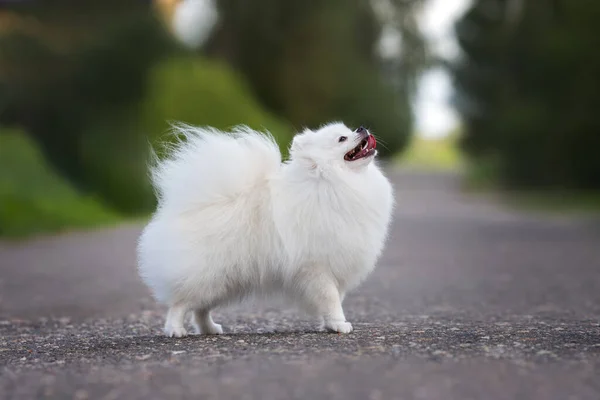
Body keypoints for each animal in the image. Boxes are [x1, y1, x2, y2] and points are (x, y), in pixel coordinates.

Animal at [136, 122, 394, 334]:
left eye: (349, 129)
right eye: (342, 138)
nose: (362, 128)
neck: (331, 183)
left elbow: (332, 300)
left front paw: (329, 325)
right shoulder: (317, 267)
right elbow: (331, 299)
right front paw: (340, 325)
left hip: (222, 280)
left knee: (200, 309)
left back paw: (210, 329)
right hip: (208, 275)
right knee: (180, 303)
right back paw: (175, 330)